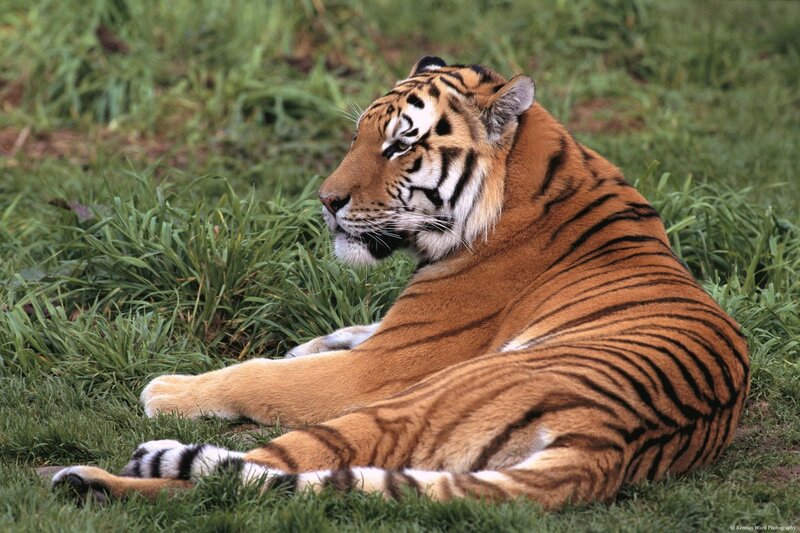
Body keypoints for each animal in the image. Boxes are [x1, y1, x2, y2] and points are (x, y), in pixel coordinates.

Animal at [52, 56, 750, 510]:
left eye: (399, 147)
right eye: (359, 134)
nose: (326, 201)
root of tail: (607, 444)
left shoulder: (380, 369)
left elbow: (261, 376)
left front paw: (169, 389)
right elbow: (338, 335)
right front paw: (312, 342)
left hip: (403, 406)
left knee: (237, 480)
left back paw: (90, 478)